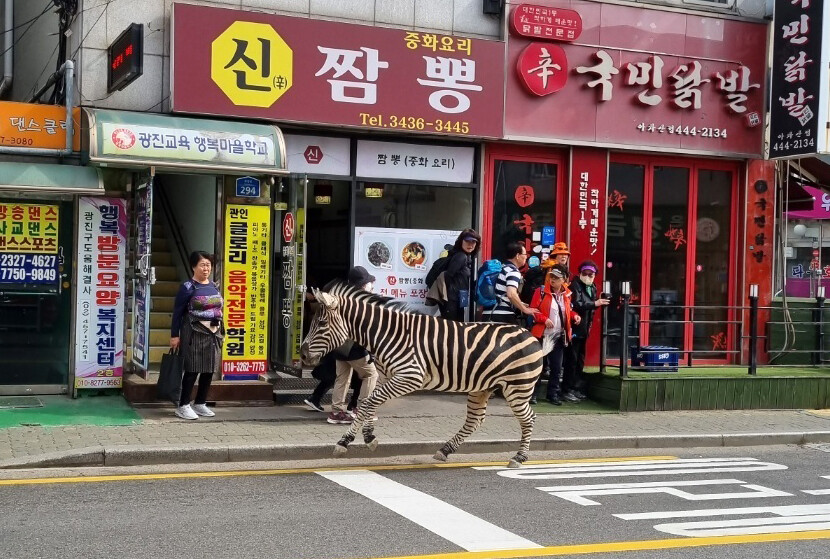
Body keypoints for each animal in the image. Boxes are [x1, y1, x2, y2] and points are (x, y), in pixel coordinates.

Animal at [300, 280, 544, 468]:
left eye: (322, 323)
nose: (302, 354)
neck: (387, 334)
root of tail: (528, 333)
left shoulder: (410, 376)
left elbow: (369, 402)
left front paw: (350, 440)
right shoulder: (387, 377)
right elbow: (369, 402)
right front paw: (364, 438)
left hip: (518, 387)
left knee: (528, 418)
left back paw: (519, 457)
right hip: (482, 387)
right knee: (475, 420)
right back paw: (445, 450)